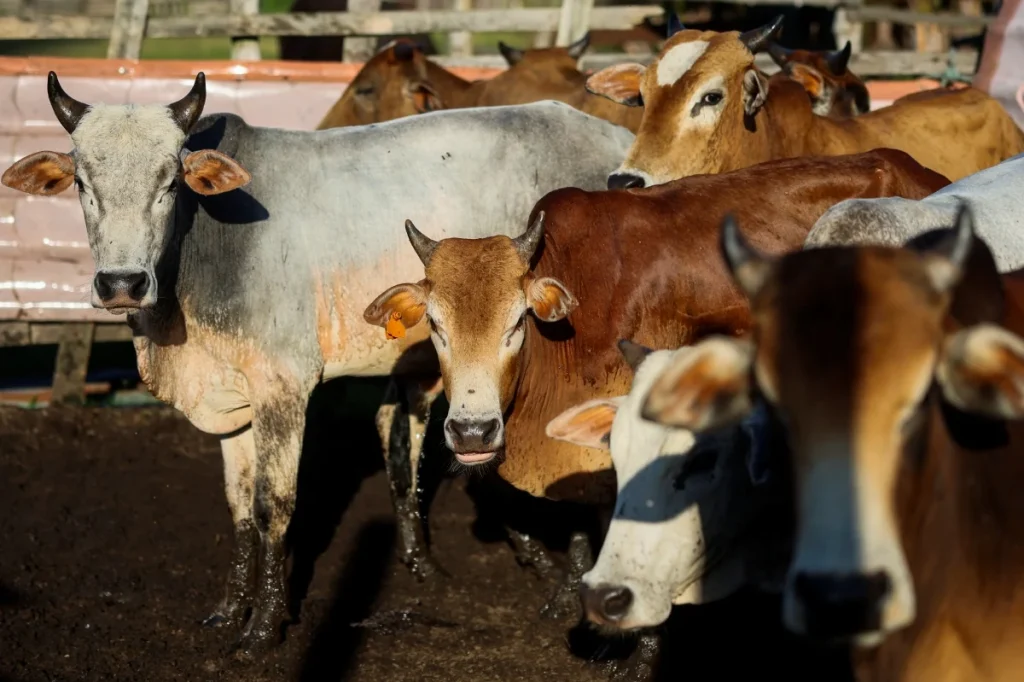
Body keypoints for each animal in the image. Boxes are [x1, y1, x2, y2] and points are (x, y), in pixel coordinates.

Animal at [0, 74, 636, 657]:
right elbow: (238, 507)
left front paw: (263, 629)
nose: (122, 284)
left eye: (170, 182)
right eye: (82, 182)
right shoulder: (232, 397)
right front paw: (230, 610)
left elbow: (272, 507)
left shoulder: (283, 386)